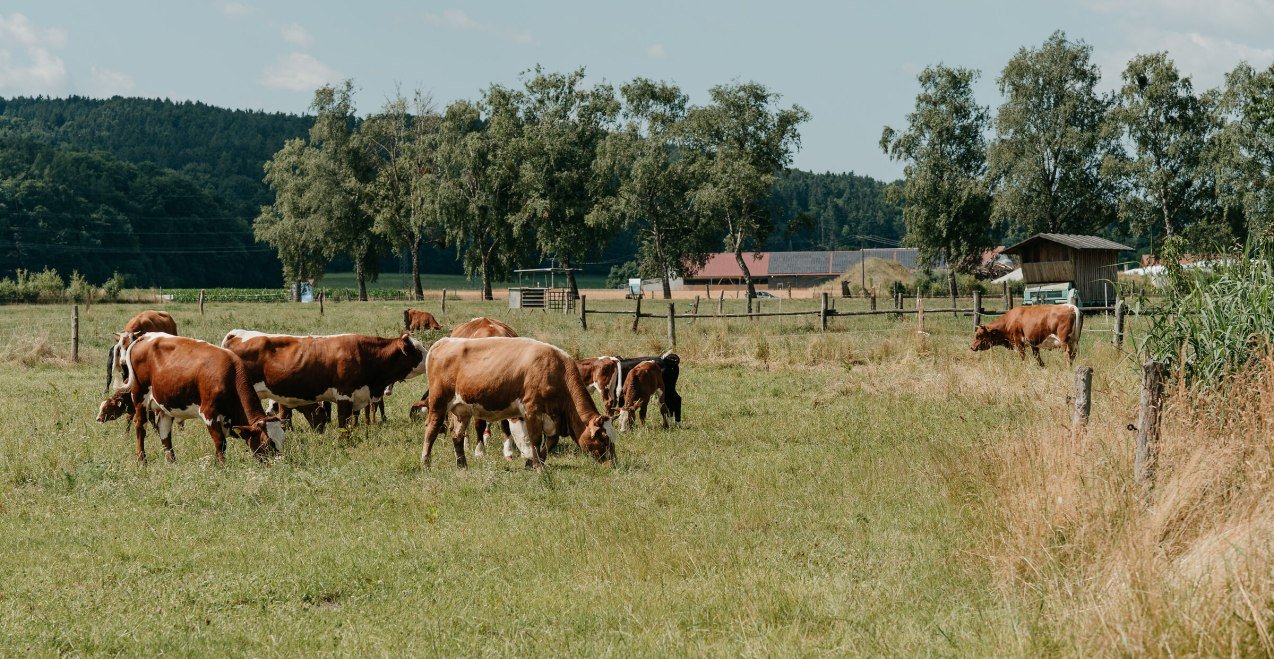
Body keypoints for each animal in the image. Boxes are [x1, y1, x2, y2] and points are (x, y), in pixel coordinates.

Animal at [104, 332, 282, 464]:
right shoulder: (209, 413)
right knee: (140, 427)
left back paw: (172, 462)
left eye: (283, 439)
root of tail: (145, 336)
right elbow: (220, 442)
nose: (279, 464)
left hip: (164, 404)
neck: (230, 374)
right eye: (268, 443)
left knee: (164, 432)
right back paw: (142, 461)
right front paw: (223, 465)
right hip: (139, 397)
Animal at [418, 337, 616, 470]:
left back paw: (462, 465)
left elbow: (551, 441)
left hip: (462, 409)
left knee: (457, 435)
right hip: (438, 403)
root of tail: (444, 341)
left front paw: (535, 462)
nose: (613, 465)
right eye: (603, 438)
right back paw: (426, 463)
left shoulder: (553, 417)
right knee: (431, 430)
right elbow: (536, 439)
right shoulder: (532, 410)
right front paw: (538, 466)